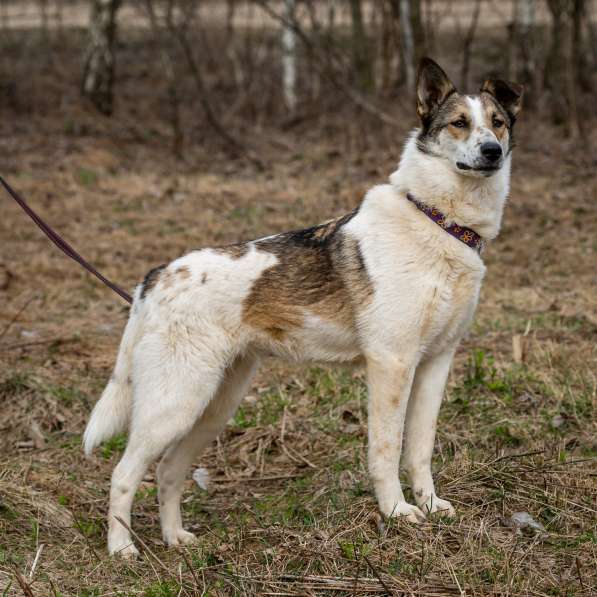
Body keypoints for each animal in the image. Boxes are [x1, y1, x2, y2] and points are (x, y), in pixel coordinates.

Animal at [84, 57, 520, 556]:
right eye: (459, 123)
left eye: (498, 123)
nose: (492, 152)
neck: (439, 220)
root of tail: (155, 277)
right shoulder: (392, 363)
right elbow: (386, 448)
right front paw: (396, 512)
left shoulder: (436, 363)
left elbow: (420, 448)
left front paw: (428, 504)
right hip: (174, 402)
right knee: (123, 474)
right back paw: (122, 548)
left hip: (213, 405)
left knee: (169, 470)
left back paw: (176, 538)